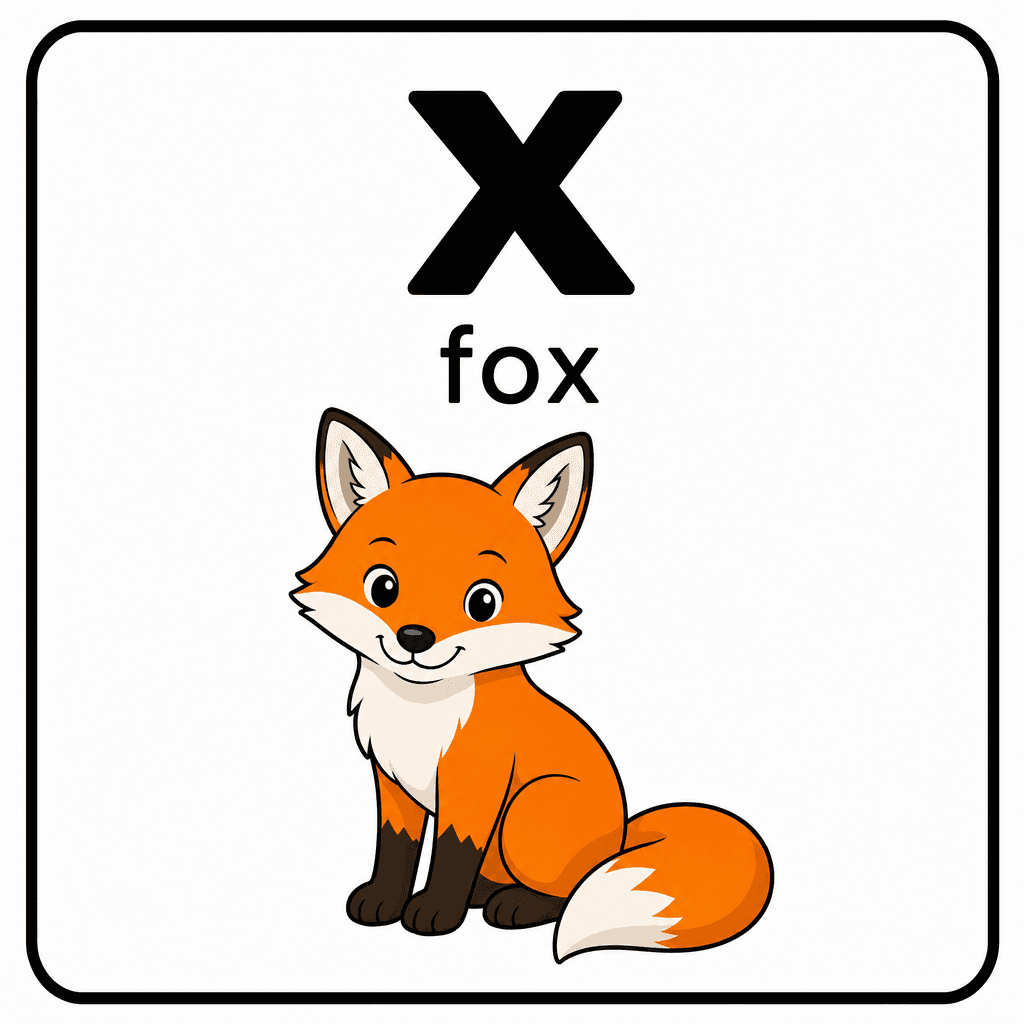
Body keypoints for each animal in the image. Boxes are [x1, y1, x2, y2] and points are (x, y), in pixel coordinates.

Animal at [291, 409, 773, 962]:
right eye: (382, 587)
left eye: (483, 602)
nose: (414, 637)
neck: (421, 711)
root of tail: (622, 837)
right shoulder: (392, 782)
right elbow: (396, 850)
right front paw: (384, 900)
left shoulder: (476, 789)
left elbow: (452, 854)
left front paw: (436, 912)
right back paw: (486, 893)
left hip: (527, 811)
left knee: (568, 892)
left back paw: (516, 905)